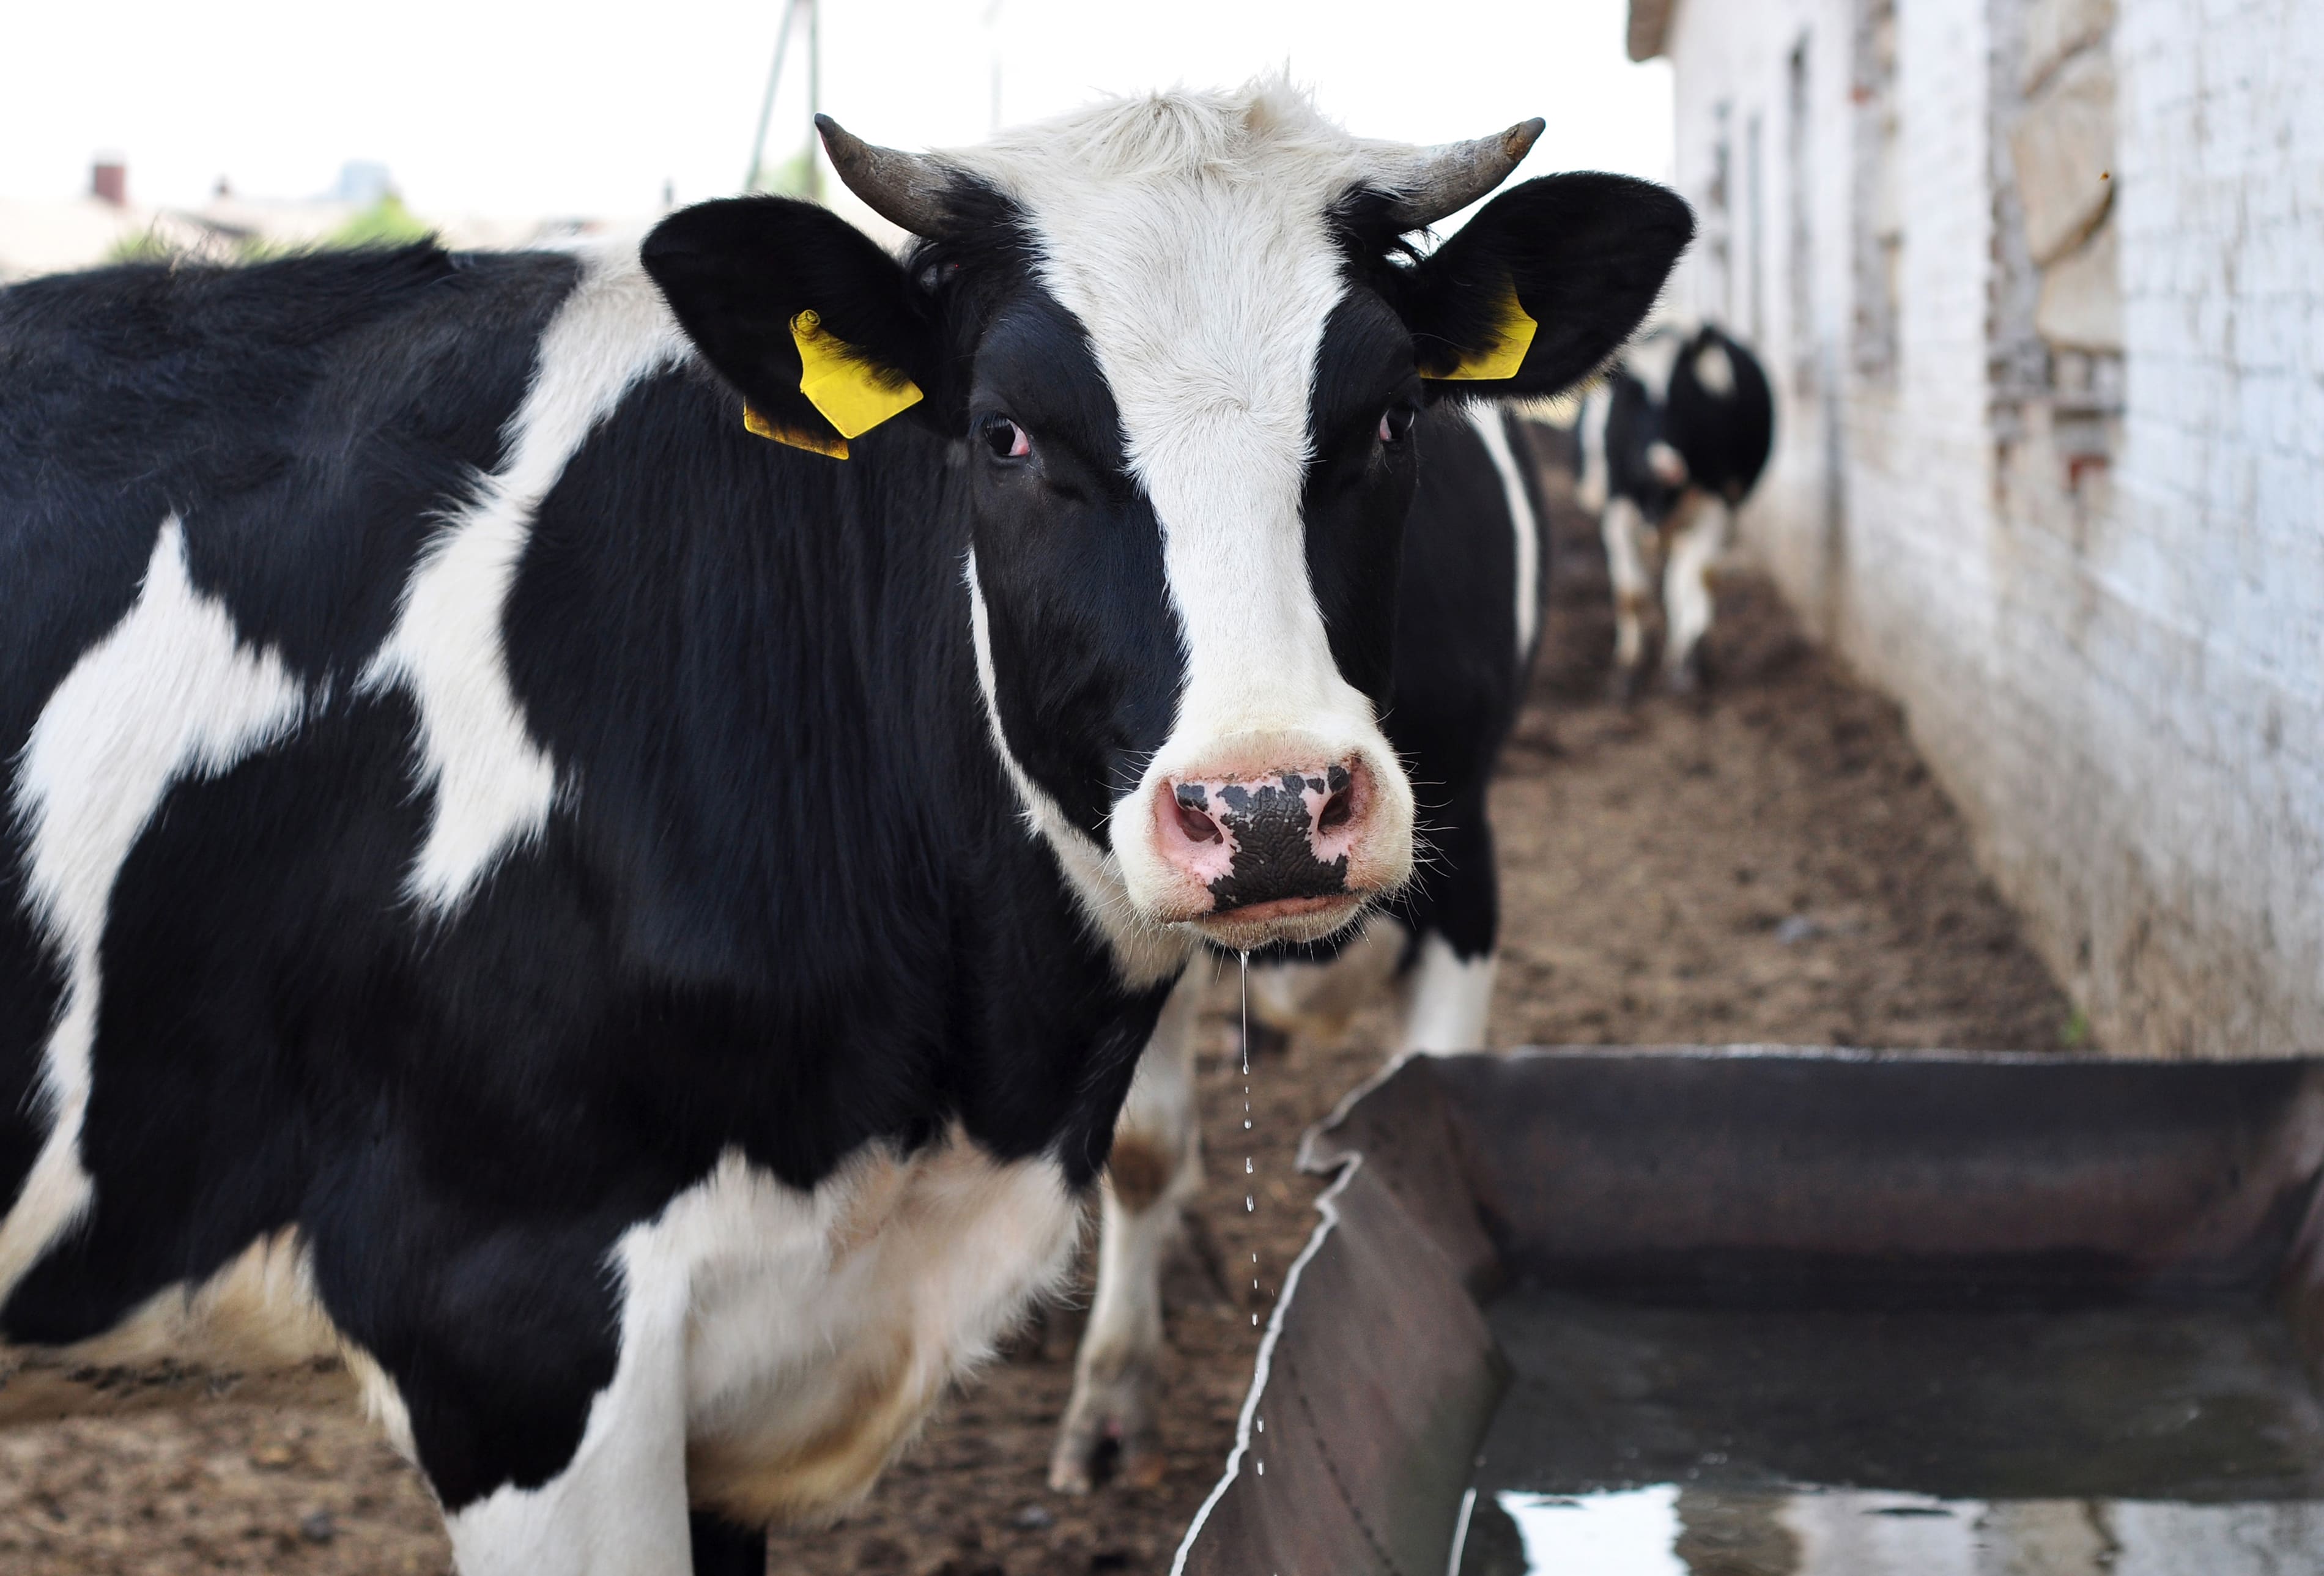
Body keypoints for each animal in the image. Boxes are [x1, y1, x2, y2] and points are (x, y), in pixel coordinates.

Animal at [1580, 318, 1775, 692]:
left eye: (1686, 399)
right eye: (1628, 398)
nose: (1664, 467)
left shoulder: (1715, 508)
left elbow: (1692, 581)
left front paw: (1685, 664)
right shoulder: (1616, 513)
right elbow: (1632, 594)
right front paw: (1628, 668)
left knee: (1677, 581)